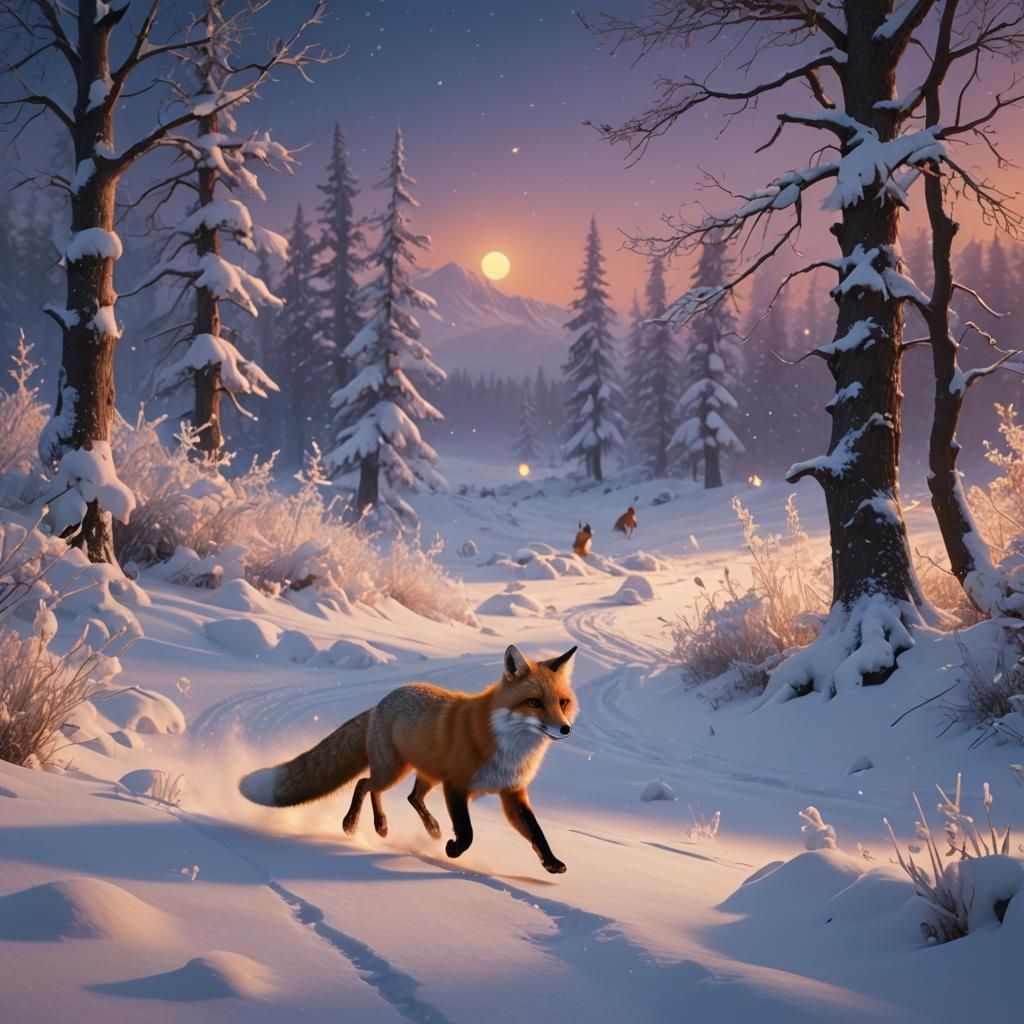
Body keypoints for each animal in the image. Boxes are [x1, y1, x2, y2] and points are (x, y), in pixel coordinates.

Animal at [239, 644, 579, 874]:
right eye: (534, 703)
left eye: (563, 702)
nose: (565, 729)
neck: (509, 747)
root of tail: (381, 700)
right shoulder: (456, 785)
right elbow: (467, 832)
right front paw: (453, 850)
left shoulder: (511, 792)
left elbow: (536, 831)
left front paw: (552, 863)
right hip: (394, 770)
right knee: (365, 784)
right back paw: (358, 824)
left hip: (422, 773)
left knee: (410, 797)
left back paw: (421, 828)